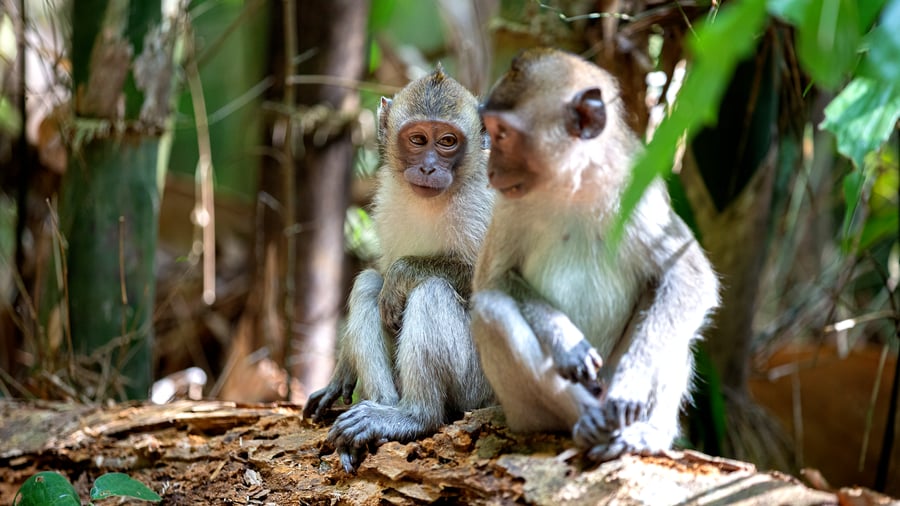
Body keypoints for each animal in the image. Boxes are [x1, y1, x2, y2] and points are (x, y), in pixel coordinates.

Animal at [302, 66, 495, 472]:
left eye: (448, 141)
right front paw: (342, 371)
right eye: (418, 139)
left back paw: (414, 417)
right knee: (369, 285)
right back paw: (378, 413)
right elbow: (381, 271)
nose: (428, 167)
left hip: (481, 387)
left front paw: (406, 272)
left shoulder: (486, 205)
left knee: (430, 291)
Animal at [470, 48, 720, 461]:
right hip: (522, 410)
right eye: (491, 130)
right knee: (492, 311)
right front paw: (565, 340)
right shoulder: (507, 207)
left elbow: (689, 276)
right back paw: (588, 420)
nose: (490, 170)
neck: (574, 184)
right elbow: (492, 281)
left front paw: (633, 383)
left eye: (503, 133)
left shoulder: (639, 191)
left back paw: (648, 432)